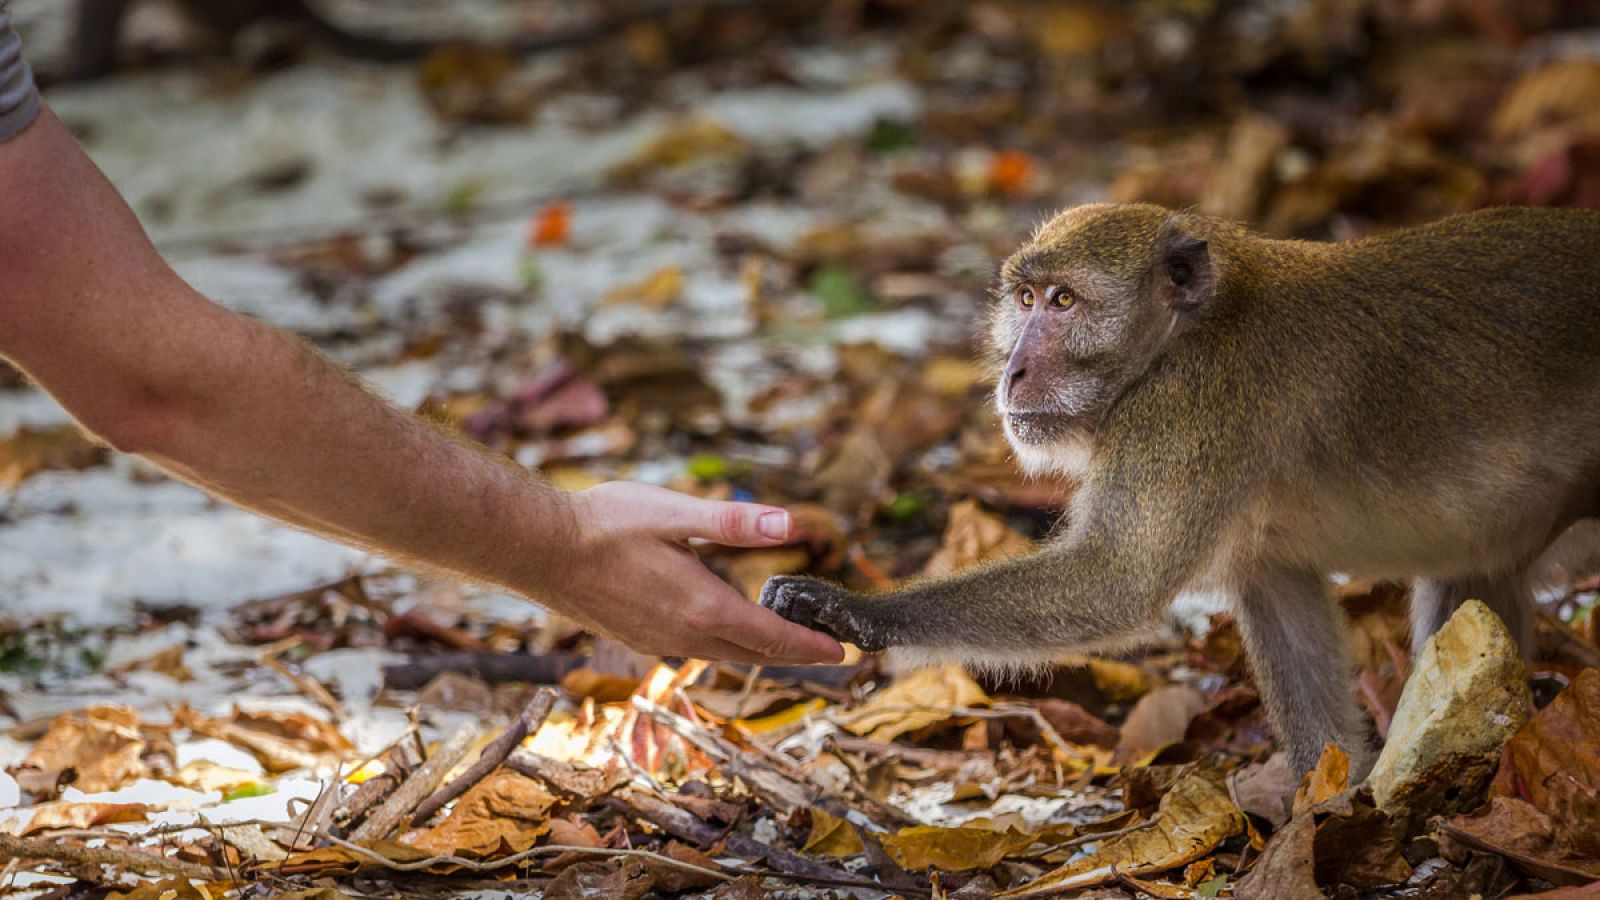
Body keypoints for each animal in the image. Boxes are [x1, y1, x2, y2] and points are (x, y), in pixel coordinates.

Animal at [758, 201, 1600, 771]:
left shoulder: (1185, 413)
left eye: (1064, 301)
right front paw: (1328, 807)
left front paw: (848, 607)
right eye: (1025, 301)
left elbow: (1113, 585)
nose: (1013, 371)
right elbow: (1281, 605)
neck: (1184, 336)